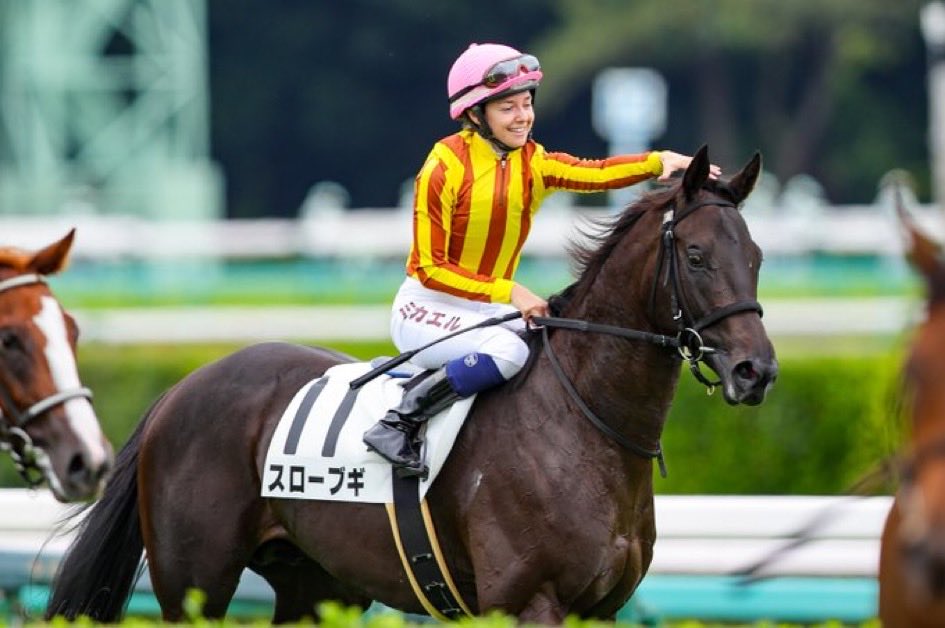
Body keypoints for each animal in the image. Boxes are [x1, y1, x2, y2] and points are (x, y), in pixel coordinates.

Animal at [46, 146, 777, 624]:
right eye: (695, 255)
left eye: (756, 256)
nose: (757, 371)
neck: (583, 427)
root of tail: (180, 390)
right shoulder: (528, 601)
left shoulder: (600, 609)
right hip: (193, 581)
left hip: (316, 584)